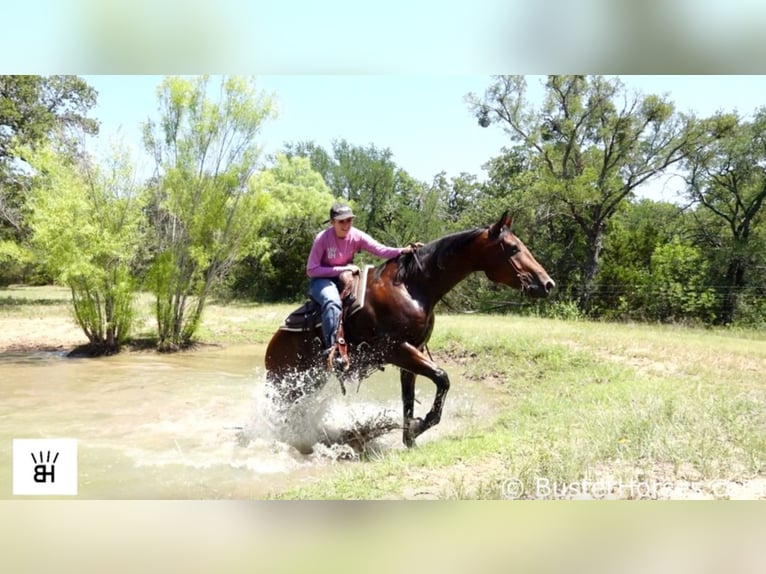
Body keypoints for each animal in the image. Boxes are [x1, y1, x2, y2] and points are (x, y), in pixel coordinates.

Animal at [268, 213, 556, 450]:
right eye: (513, 248)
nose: (547, 284)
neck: (412, 287)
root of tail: (271, 348)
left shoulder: (412, 353)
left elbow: (409, 398)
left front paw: (410, 438)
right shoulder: (398, 350)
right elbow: (442, 378)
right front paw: (421, 425)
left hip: (310, 381)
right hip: (287, 386)